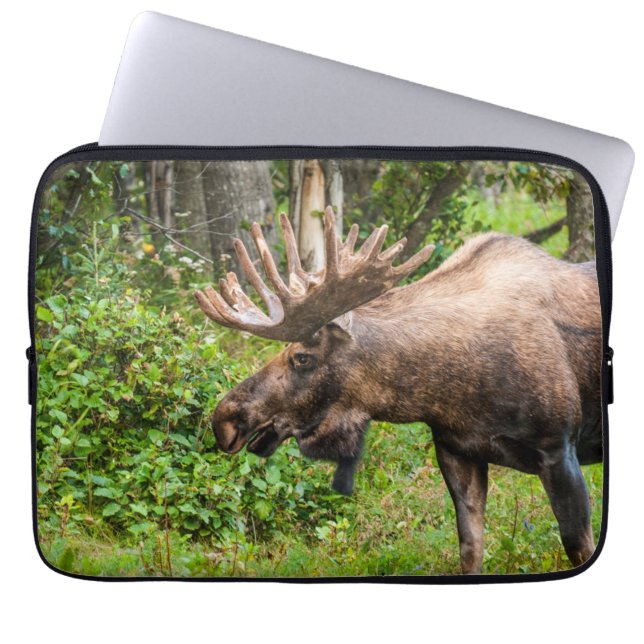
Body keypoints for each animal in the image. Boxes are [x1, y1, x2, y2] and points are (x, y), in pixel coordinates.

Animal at [194, 206, 602, 574]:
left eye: (303, 358)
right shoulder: (457, 450)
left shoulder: (559, 449)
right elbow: (470, 548)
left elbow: (578, 546)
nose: (224, 418)